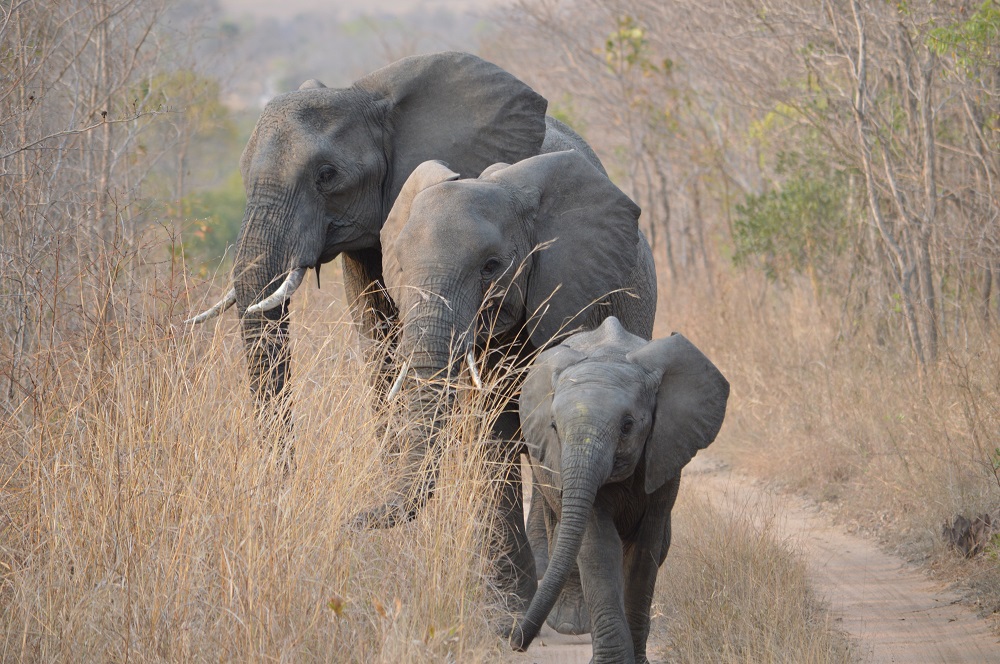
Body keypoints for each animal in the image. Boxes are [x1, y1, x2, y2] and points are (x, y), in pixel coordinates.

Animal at [375, 149, 657, 624]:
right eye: (397, 265)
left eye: (491, 267)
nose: (348, 522)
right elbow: (492, 435)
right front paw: (505, 609)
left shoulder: (575, 293)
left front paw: (566, 618)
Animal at [510, 316, 730, 663]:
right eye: (554, 427)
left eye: (627, 426)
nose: (515, 642)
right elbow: (599, 547)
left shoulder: (664, 456)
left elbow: (644, 552)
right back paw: (569, 625)